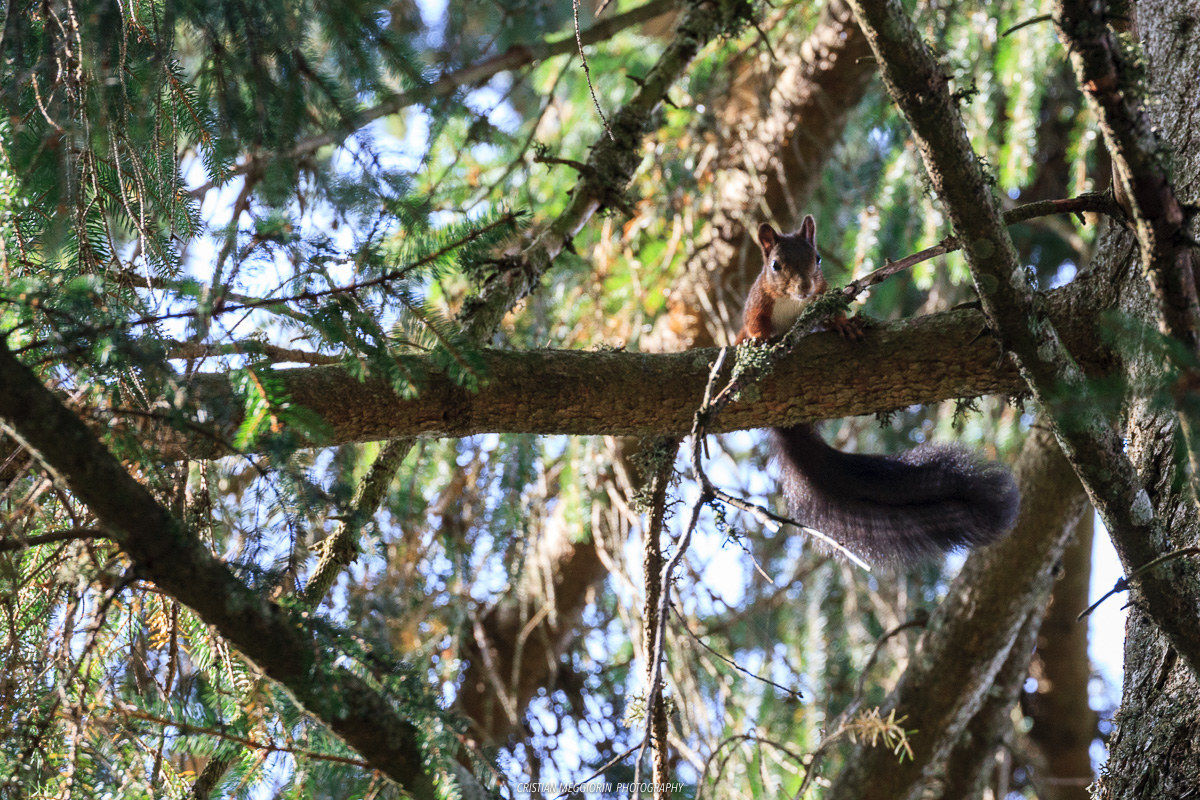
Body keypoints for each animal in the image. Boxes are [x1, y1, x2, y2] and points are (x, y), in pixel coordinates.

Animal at [735, 216, 1020, 564]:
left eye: (817, 259)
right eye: (775, 265)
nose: (804, 288)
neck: (793, 304)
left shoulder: (822, 297)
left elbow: (832, 315)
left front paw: (844, 324)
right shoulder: (758, 302)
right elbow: (753, 322)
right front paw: (758, 339)